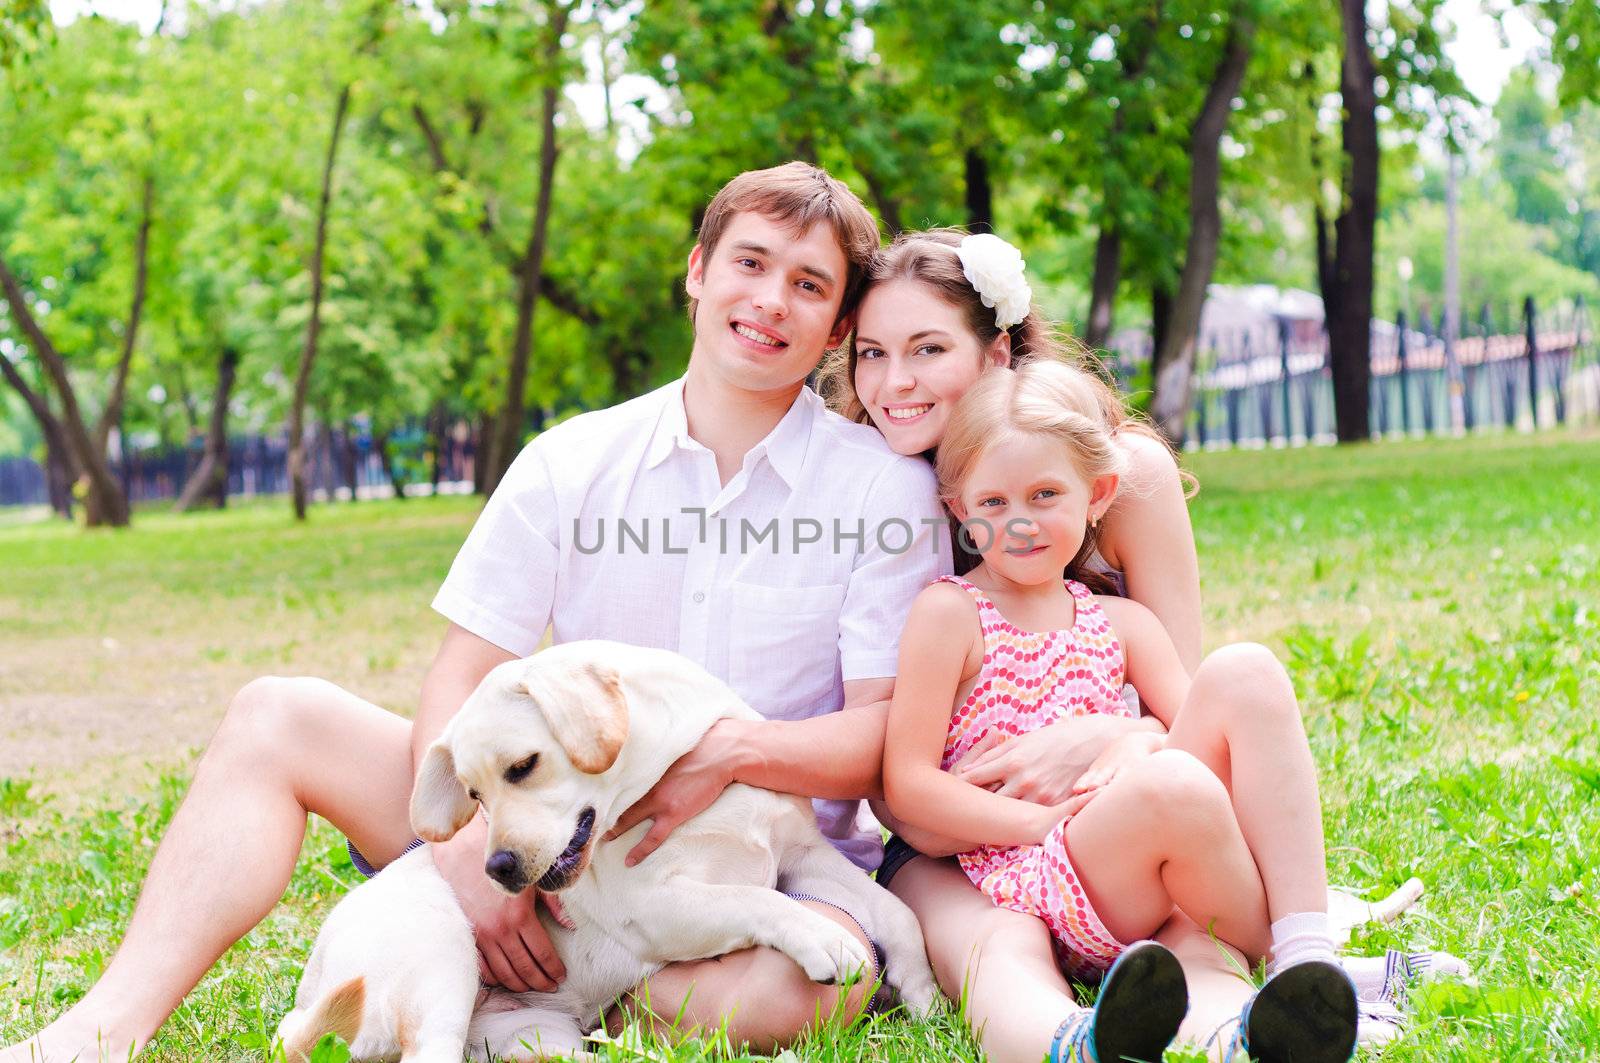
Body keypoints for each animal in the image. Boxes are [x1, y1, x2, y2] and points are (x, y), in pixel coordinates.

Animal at [275, 640, 934, 1063]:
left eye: (523, 767)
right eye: (473, 794)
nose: (497, 869)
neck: (673, 768)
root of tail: (304, 1010)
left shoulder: (804, 855)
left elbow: (899, 913)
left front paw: (924, 995)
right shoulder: (653, 907)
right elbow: (756, 900)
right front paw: (825, 937)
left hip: (536, 1035)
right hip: (443, 960)